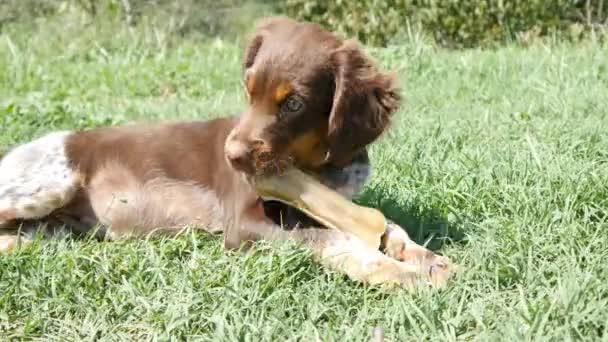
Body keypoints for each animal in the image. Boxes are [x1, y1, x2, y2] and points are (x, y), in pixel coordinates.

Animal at [1, 17, 452, 288]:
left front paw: (423, 257)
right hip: (46, 185)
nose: (231, 157)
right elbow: (335, 239)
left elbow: (388, 226)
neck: (316, 168)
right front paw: (398, 272)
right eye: (248, 90)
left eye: (293, 104)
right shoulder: (244, 224)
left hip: (55, 223)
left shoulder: (336, 203)